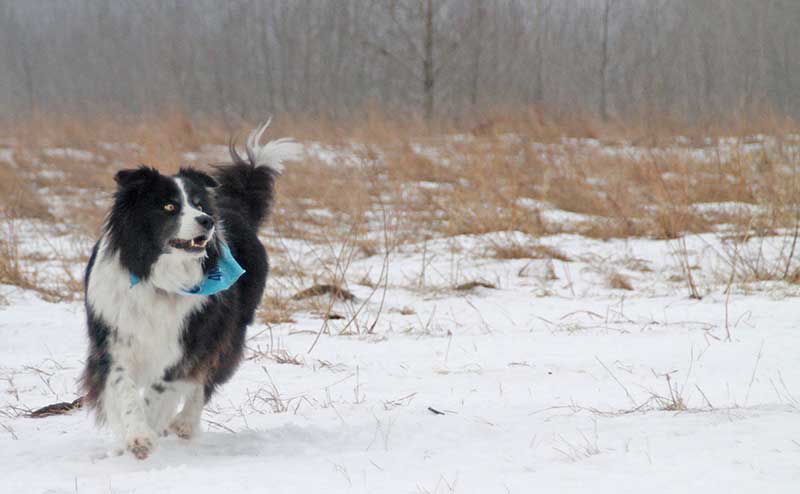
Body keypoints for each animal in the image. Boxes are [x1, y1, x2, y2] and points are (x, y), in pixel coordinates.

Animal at [80, 122, 300, 460]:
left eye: (198, 204)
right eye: (169, 206)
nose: (207, 220)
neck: (159, 278)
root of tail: (234, 208)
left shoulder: (189, 339)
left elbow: (161, 390)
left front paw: (149, 430)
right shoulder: (113, 338)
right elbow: (123, 389)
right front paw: (135, 437)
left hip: (229, 329)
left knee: (206, 379)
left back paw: (184, 423)